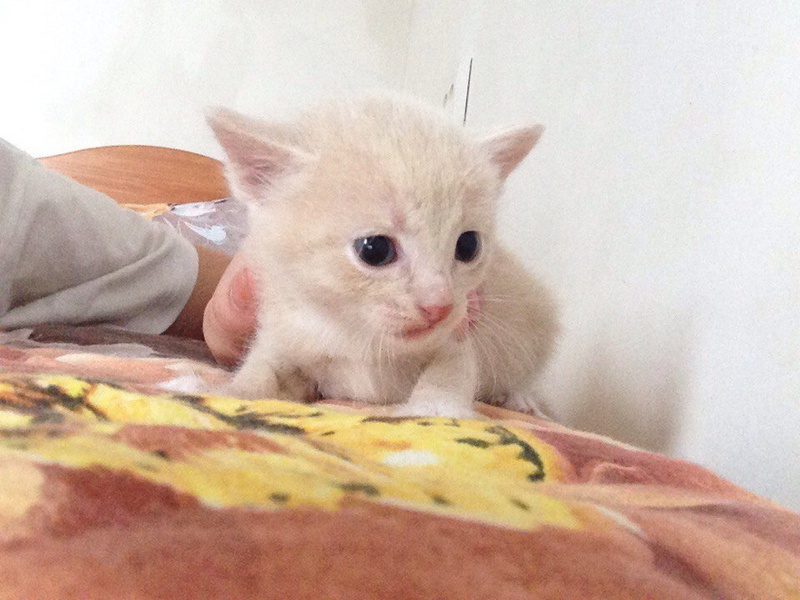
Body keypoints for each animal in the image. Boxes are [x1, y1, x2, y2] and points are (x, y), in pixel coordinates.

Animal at [208, 94, 558, 418]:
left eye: (469, 246)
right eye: (374, 250)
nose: (439, 306)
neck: (360, 337)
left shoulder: (457, 335)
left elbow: (450, 371)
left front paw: (431, 410)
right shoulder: (287, 329)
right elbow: (265, 367)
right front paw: (234, 392)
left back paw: (518, 398)